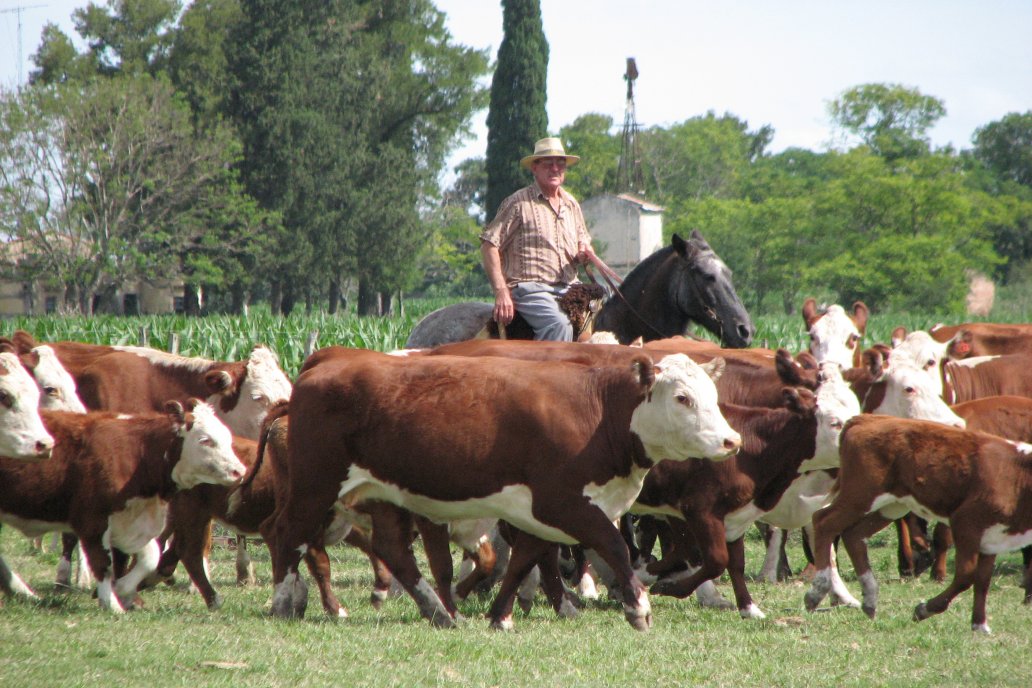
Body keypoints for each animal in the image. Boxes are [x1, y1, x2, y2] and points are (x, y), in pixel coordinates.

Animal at [0, 400, 244, 610]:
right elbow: (103, 565)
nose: (239, 471)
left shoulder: (131, 521)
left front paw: (123, 590)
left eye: (227, 438)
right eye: (205, 440)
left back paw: (22, 592)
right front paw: (111, 603)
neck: (137, 454)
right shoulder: (92, 521)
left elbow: (151, 556)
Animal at [262, 350, 738, 631]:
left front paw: (500, 616)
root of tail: (330, 358)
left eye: (713, 395)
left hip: (381, 494)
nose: (731, 440)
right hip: (315, 484)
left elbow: (524, 560)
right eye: (682, 398)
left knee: (393, 550)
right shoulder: (562, 502)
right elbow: (612, 545)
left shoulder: (539, 511)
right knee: (287, 532)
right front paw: (637, 608)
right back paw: (284, 599)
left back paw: (439, 612)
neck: (598, 411)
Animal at [804, 414, 1032, 635]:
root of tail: (866, 418)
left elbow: (983, 581)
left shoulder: (994, 537)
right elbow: (966, 576)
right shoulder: (966, 523)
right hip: (861, 495)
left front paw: (979, 625)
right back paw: (817, 592)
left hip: (892, 505)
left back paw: (869, 598)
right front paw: (924, 609)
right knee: (823, 521)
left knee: (854, 535)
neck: (1018, 475)